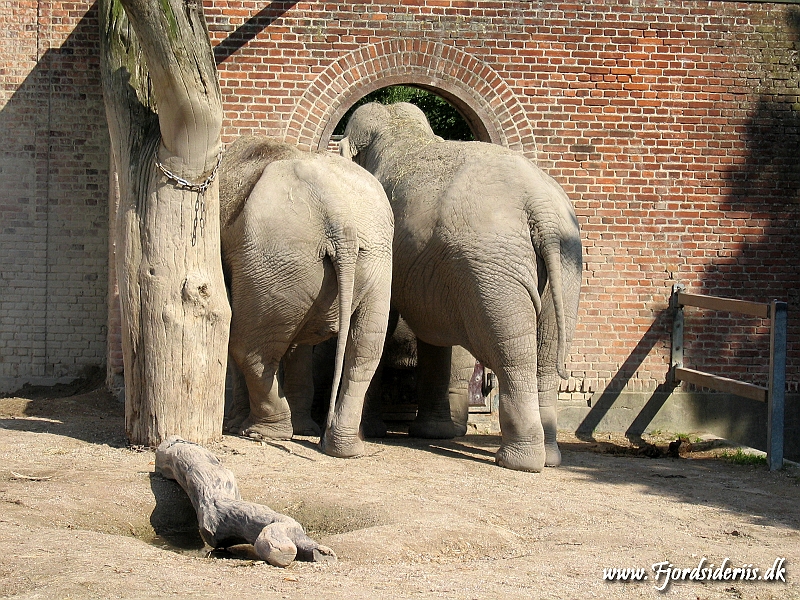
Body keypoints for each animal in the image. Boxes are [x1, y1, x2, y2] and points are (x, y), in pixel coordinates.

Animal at [219, 134, 394, 458]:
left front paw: (235, 424)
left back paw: (259, 432)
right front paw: (305, 430)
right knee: (365, 349)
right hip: (374, 261)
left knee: (247, 346)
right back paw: (344, 447)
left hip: (273, 257)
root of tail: (340, 218)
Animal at [340, 101, 580, 472]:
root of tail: (541, 207)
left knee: (513, 354)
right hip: (563, 269)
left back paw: (518, 461)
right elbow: (434, 334)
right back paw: (548, 458)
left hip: (494, 270)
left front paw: (374, 431)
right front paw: (432, 434)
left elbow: (390, 318)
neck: (403, 134)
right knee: (544, 355)